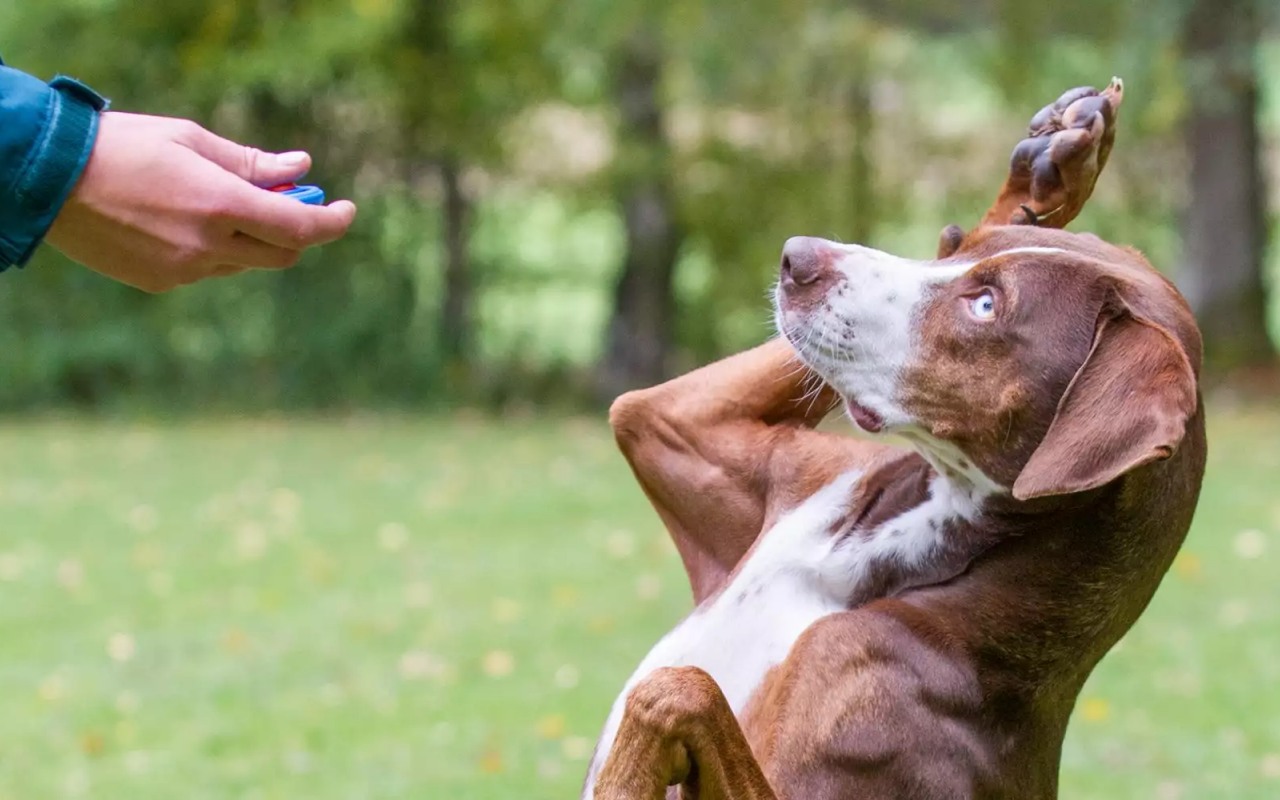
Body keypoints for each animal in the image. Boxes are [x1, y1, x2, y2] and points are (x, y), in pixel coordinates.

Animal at [586, 79, 1203, 798]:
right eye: (959, 248)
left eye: (986, 305)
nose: (798, 256)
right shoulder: (693, 433)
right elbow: (640, 410)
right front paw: (1046, 177)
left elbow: (675, 691)